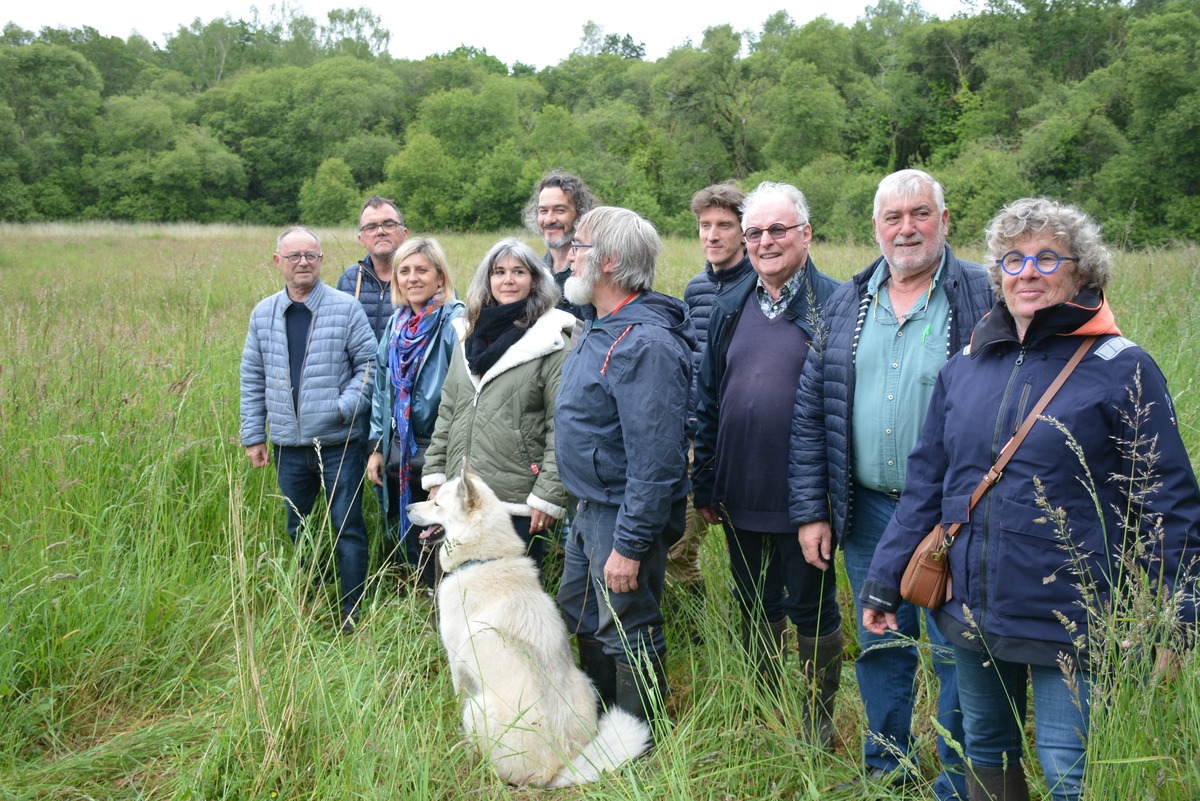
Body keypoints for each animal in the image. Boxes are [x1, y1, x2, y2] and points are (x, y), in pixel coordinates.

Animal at [408, 465, 652, 786]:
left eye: (436, 504)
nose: (408, 508)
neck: (484, 560)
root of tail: (559, 766)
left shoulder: (457, 663)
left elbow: (457, 693)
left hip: (477, 708)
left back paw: (463, 750)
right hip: (585, 681)